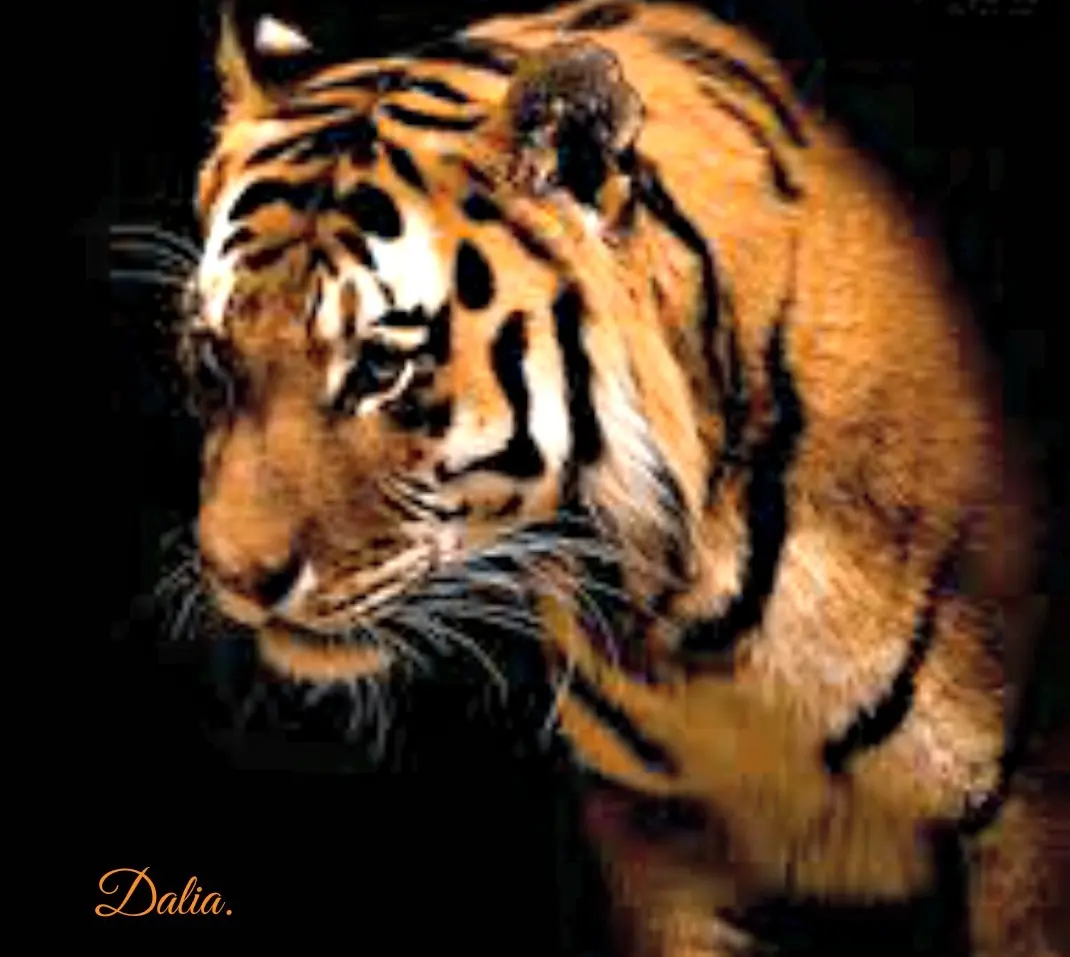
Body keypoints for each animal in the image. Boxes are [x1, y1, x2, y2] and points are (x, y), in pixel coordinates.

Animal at [178, 0, 1065, 954]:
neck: (691, 624)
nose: (238, 580)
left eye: (381, 367)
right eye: (214, 357)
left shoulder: (1027, 813)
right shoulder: (654, 829)